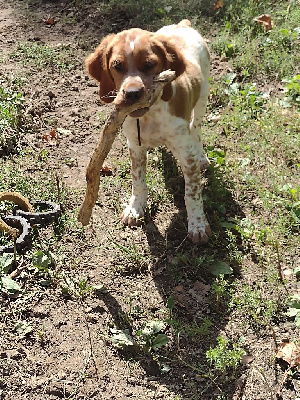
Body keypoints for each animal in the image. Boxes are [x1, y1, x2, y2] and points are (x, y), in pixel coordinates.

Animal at [85, 18, 210, 242]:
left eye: (150, 64)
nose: (132, 93)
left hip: (202, 99)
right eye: (117, 66)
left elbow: (192, 192)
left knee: (196, 128)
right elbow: (138, 181)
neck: (149, 116)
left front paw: (198, 225)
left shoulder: (186, 154)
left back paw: (202, 156)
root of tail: (183, 24)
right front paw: (136, 208)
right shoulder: (135, 147)